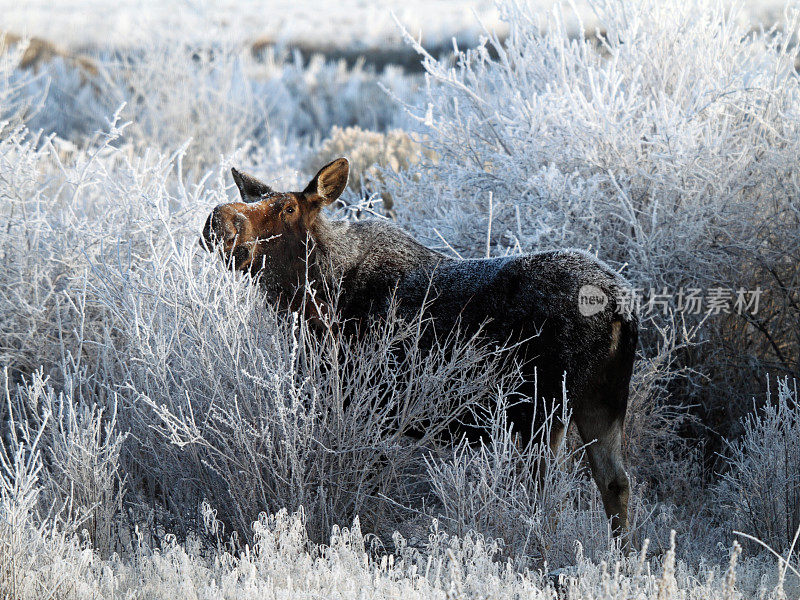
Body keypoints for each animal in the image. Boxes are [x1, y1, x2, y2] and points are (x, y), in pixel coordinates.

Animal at [203, 156, 640, 536]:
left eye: (289, 207)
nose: (219, 220)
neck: (314, 304)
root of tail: (620, 306)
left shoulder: (370, 406)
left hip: (544, 409)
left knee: (546, 490)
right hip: (601, 401)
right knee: (616, 483)